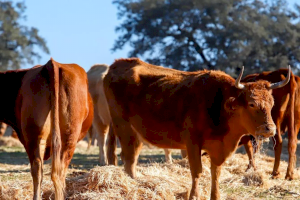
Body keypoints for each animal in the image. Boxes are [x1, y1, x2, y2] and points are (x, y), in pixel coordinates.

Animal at [103, 58, 290, 200]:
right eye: (251, 104)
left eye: (271, 103)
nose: (269, 129)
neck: (219, 105)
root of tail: (119, 63)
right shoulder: (192, 143)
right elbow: (197, 171)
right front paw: (194, 195)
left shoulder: (217, 148)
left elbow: (216, 172)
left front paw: (215, 196)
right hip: (123, 127)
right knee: (128, 158)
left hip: (136, 133)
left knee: (132, 159)